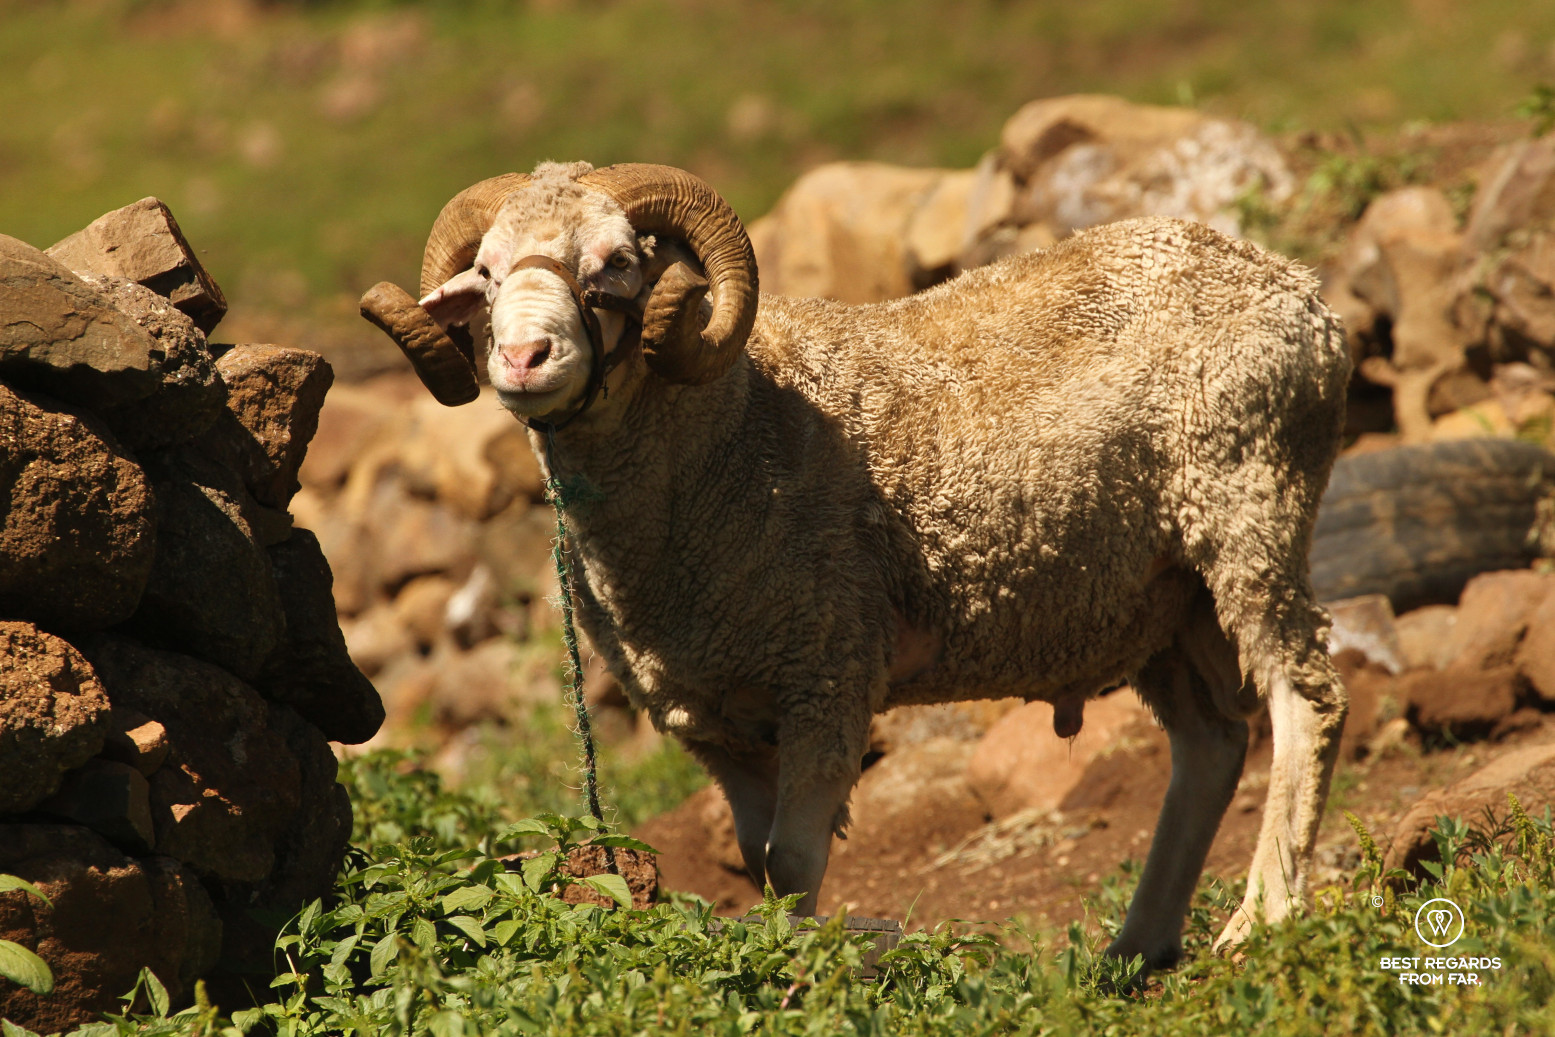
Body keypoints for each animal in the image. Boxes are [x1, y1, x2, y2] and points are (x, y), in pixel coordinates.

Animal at [360, 159, 1351, 968]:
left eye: (613, 264)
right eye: (486, 275)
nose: (524, 357)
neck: (728, 431)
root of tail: (1298, 291)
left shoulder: (825, 672)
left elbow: (794, 859)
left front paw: (803, 969)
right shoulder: (714, 717)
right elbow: (757, 861)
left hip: (1246, 503)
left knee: (1305, 697)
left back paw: (1262, 919)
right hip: (1155, 601)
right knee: (1210, 743)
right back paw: (1137, 948)